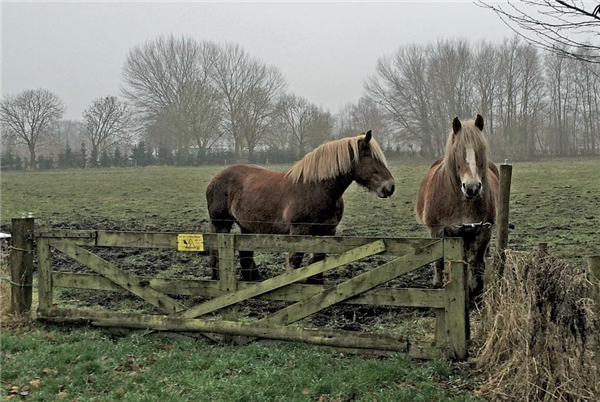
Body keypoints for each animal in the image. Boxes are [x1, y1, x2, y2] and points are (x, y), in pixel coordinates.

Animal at [206, 130, 394, 282]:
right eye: (371, 158)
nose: (390, 187)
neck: (316, 189)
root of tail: (216, 177)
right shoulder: (298, 230)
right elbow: (295, 259)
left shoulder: (327, 231)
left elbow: (318, 259)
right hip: (221, 224)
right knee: (217, 252)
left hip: (247, 227)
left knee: (245, 253)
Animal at [414, 114, 500, 304]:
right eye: (456, 151)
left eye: (481, 149)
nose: (472, 187)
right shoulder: (439, 232)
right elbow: (439, 260)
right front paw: (439, 285)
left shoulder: (482, 231)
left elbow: (476, 262)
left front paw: (476, 292)